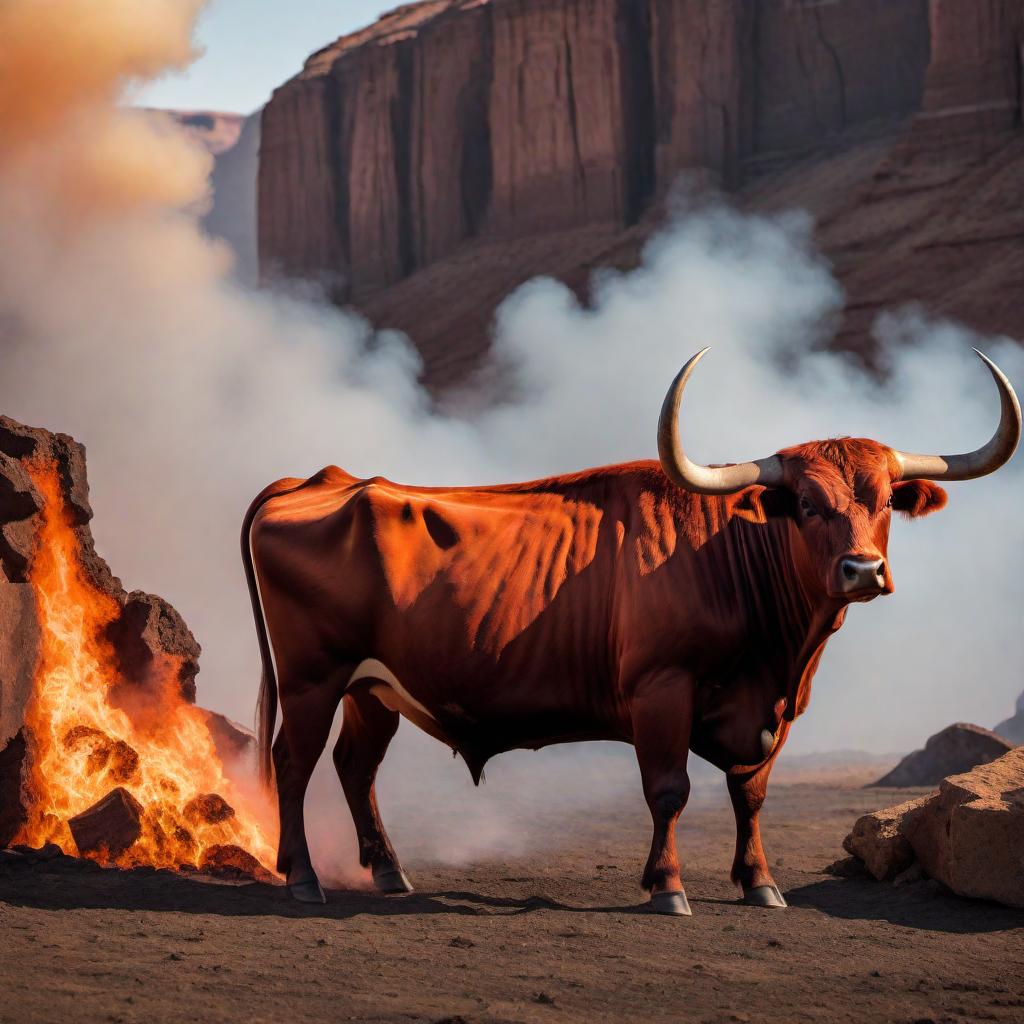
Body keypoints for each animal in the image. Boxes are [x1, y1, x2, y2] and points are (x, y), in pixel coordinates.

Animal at [243, 348, 1019, 909]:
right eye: (804, 502)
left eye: (885, 500)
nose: (864, 569)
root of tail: (320, 481)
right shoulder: (660, 690)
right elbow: (669, 789)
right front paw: (668, 887)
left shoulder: (775, 715)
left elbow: (750, 794)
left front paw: (760, 884)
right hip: (313, 679)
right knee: (294, 761)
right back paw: (303, 878)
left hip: (372, 690)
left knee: (355, 766)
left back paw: (389, 872)